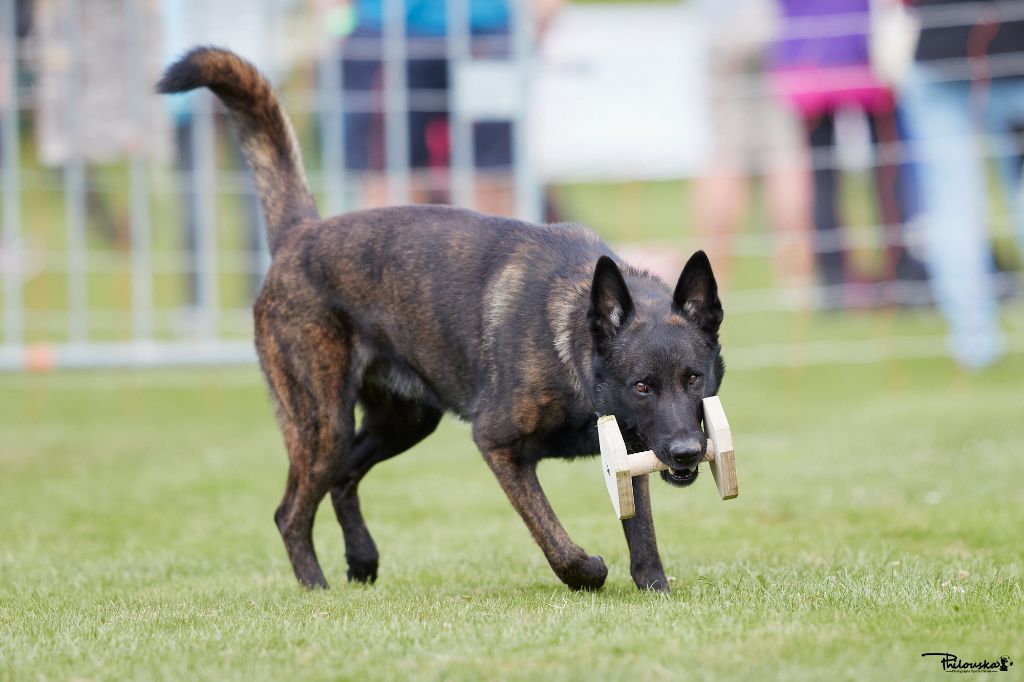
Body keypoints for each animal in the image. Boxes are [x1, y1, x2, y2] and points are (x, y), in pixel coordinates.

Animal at [157, 47, 729, 589]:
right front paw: (588, 573)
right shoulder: (498, 445)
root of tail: (300, 233)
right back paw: (315, 587)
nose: (686, 453)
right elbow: (554, 538)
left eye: (694, 379)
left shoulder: (632, 445)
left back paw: (361, 559)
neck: (572, 342)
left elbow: (641, 528)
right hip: (324, 423)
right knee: (290, 511)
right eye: (641, 386)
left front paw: (654, 586)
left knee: (343, 478)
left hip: (403, 421)